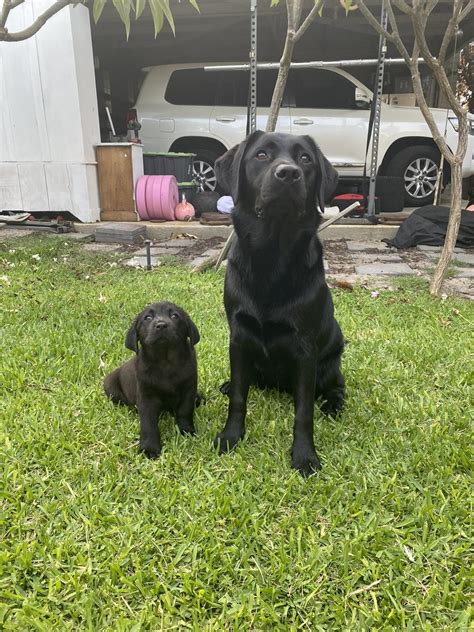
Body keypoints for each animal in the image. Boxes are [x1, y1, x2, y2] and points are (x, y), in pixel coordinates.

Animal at [103, 302, 200, 460]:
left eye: (174, 316)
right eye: (147, 317)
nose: (161, 325)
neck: (165, 361)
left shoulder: (189, 389)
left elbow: (185, 411)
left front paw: (187, 431)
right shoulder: (146, 396)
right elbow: (148, 423)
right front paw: (149, 448)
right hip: (110, 385)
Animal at [215, 131, 344, 476]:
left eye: (305, 159)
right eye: (261, 155)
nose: (288, 173)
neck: (271, 259)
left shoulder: (305, 350)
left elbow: (303, 412)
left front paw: (304, 455)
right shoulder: (239, 337)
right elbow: (239, 398)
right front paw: (231, 436)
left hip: (330, 363)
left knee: (337, 387)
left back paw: (333, 404)